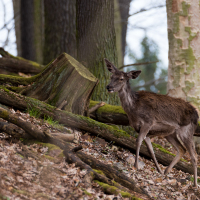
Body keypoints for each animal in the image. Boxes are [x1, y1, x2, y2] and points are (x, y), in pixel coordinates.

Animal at [104, 58, 198, 187]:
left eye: (121, 78)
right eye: (111, 76)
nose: (109, 87)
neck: (133, 109)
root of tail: (196, 114)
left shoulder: (148, 122)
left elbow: (138, 141)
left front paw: (136, 166)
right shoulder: (145, 130)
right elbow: (151, 151)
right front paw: (158, 170)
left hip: (186, 130)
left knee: (194, 156)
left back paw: (195, 184)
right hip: (170, 133)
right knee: (181, 150)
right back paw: (166, 171)